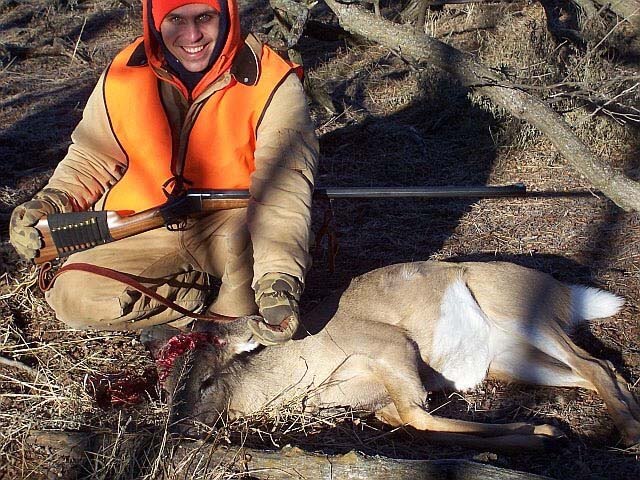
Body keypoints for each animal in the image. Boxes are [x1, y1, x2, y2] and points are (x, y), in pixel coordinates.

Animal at [144, 261, 640, 451]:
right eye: (166, 390)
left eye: (206, 380)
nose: (177, 430)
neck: (300, 376)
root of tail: (562, 291)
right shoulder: (373, 401)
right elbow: (408, 421)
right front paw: (535, 432)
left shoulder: (392, 345)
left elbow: (420, 416)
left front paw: (538, 432)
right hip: (509, 359)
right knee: (600, 369)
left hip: (519, 310)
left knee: (594, 363)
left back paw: (627, 430)